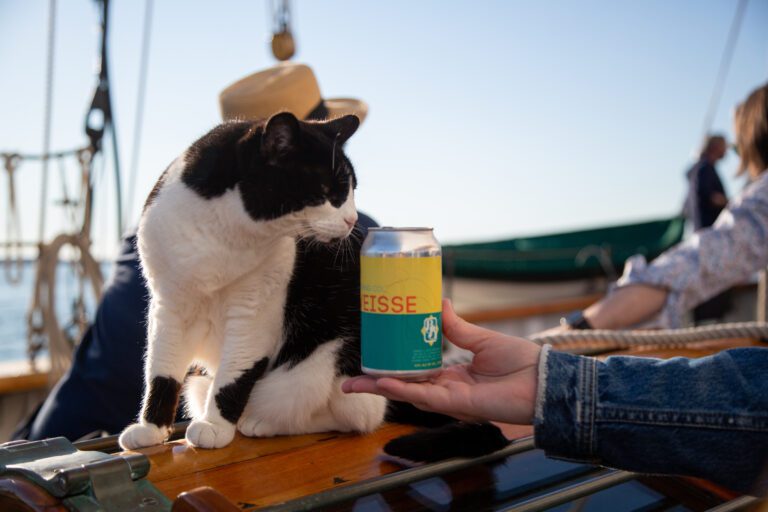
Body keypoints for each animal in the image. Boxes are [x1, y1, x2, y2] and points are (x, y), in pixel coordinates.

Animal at [119, 111, 390, 448]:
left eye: (352, 191)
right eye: (329, 192)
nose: (352, 220)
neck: (222, 235)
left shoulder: (253, 312)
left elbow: (235, 372)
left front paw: (214, 425)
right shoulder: (168, 305)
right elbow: (161, 368)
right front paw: (151, 428)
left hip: (325, 363)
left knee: (353, 414)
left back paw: (262, 423)